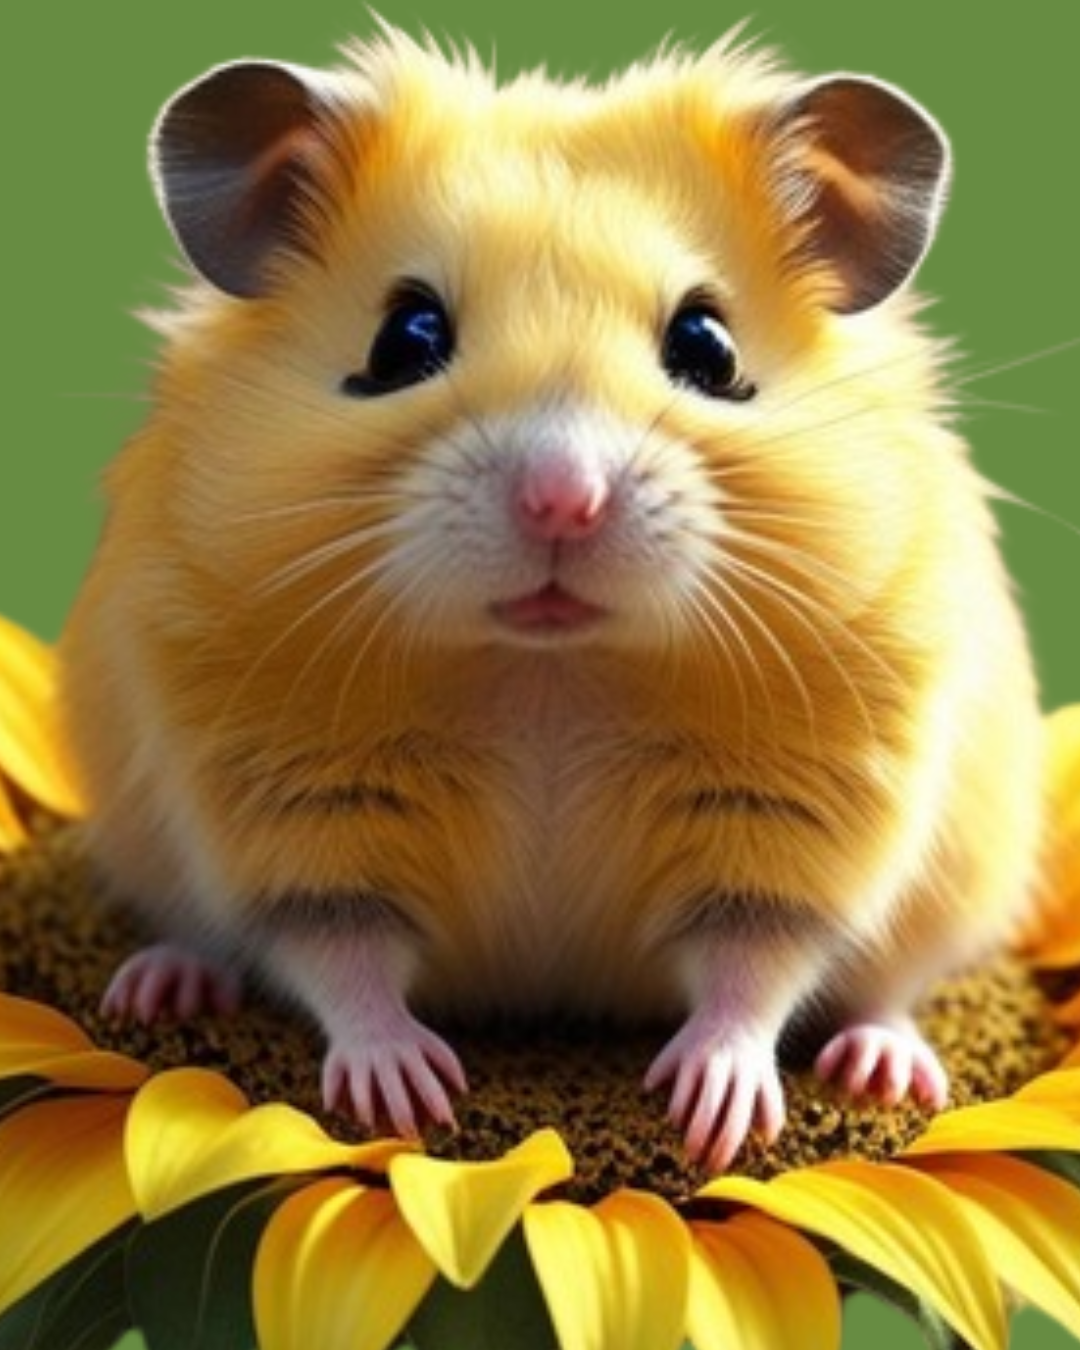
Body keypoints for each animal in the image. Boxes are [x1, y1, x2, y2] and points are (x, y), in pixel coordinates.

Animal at [61, 24, 1044, 1172]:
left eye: (708, 347)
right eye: (405, 339)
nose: (562, 499)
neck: (551, 677)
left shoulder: (798, 819)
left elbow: (753, 964)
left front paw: (712, 1115)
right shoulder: (292, 810)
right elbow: (342, 954)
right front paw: (409, 1096)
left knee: (886, 987)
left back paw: (883, 1064)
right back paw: (163, 985)